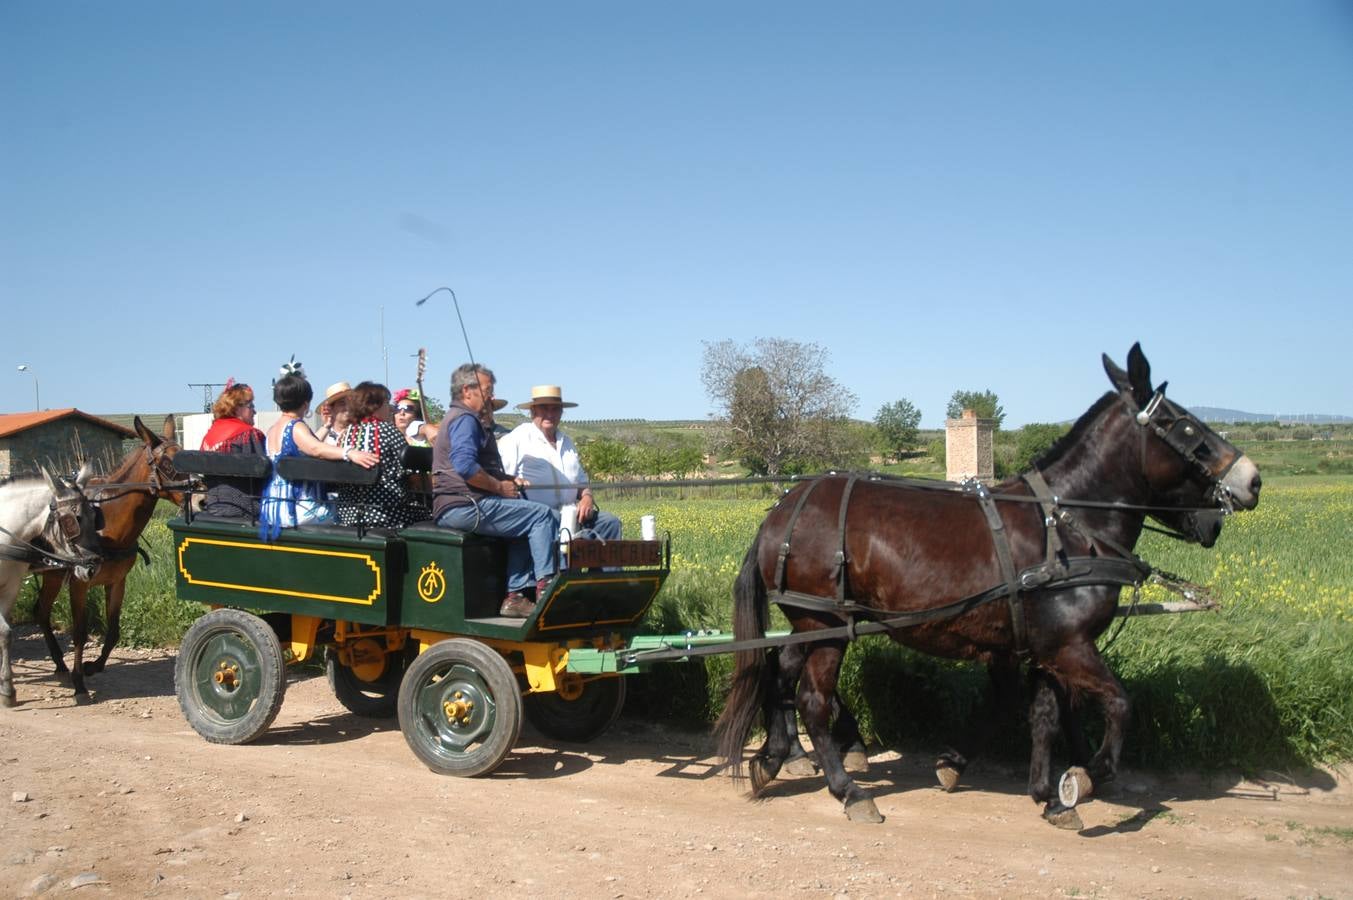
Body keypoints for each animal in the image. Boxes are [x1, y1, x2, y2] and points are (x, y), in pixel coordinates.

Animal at [0, 465, 101, 703]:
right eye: (73, 520)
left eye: (95, 516)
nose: (93, 568)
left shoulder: (11, 588)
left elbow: (6, 634)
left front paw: (7, 686)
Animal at [36, 414, 185, 703]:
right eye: (167, 463)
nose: (203, 497)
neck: (105, 524)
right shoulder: (79, 583)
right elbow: (79, 632)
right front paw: (79, 683)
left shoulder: (116, 581)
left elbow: (113, 630)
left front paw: (92, 667)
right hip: (52, 574)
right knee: (40, 611)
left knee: (40, 611)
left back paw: (59, 662)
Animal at [719, 343, 1255, 822]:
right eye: (1186, 426)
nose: (1252, 481)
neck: (1067, 525)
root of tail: (783, 508)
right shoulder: (1070, 647)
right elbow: (1120, 704)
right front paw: (1084, 776)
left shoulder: (1042, 648)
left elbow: (1042, 715)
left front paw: (1041, 793)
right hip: (827, 625)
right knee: (812, 700)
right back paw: (848, 791)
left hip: (810, 623)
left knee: (781, 673)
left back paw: (776, 757)